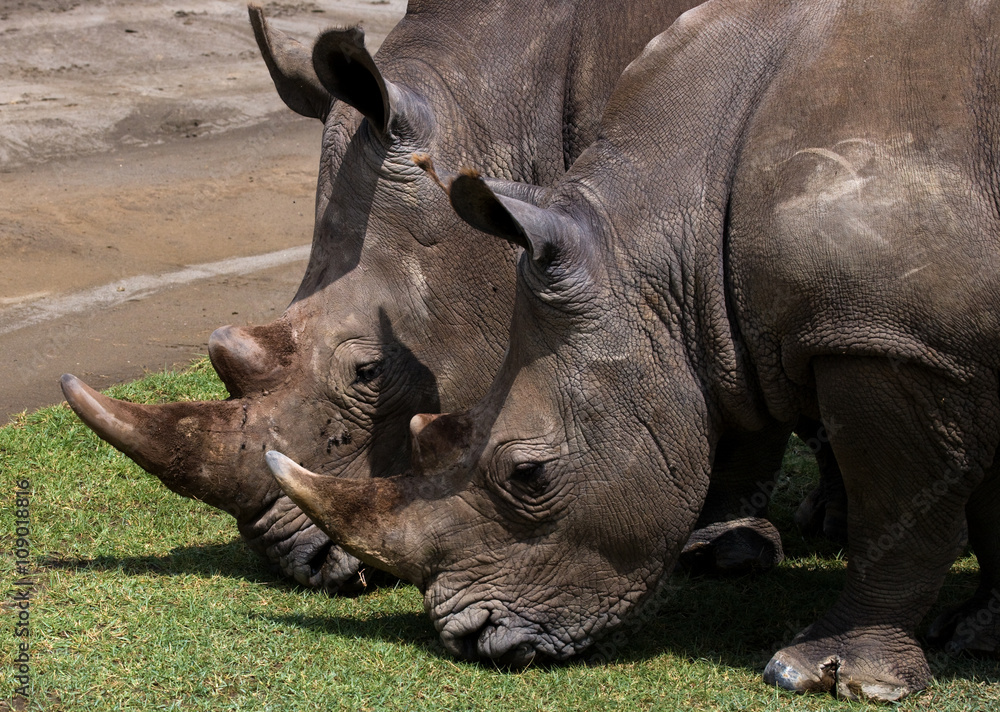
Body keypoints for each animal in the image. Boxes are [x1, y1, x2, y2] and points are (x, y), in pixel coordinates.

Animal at [266, 0, 1000, 700]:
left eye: (528, 475)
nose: (472, 638)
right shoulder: (925, 337)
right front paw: (974, 631)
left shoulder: (893, 339)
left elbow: (896, 511)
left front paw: (821, 671)